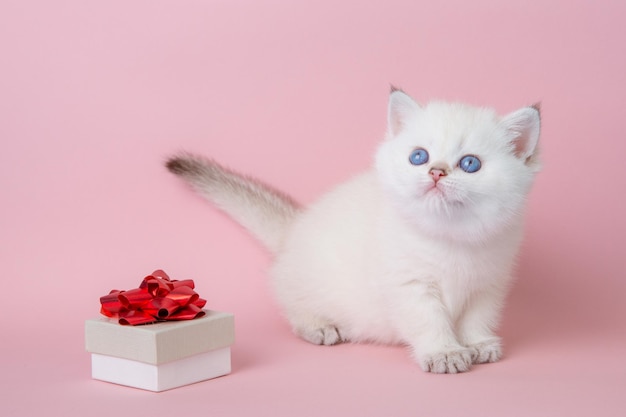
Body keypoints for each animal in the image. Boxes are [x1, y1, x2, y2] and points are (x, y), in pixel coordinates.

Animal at [167, 88, 540, 374]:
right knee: (292, 308)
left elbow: (477, 318)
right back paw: (320, 326)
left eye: (470, 164)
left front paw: (478, 344)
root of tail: (294, 228)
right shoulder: (409, 286)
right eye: (419, 157)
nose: (435, 172)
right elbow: (429, 320)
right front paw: (444, 353)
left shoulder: (488, 285)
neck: (450, 238)